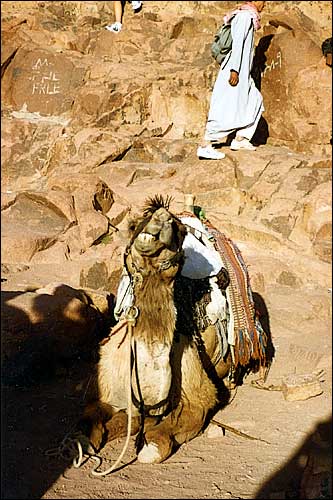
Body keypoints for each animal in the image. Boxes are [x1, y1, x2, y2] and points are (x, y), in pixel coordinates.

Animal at [74, 194, 268, 464]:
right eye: (134, 223)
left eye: (179, 230)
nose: (161, 218)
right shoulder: (108, 391)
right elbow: (89, 421)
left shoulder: (198, 399)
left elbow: (154, 446)